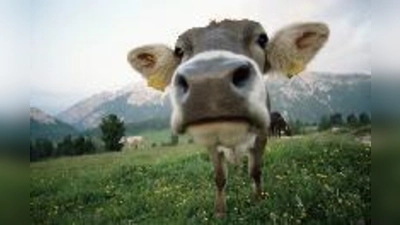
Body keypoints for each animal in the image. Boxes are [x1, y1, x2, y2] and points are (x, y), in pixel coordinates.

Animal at [127, 19, 328, 218]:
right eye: (179, 51)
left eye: (262, 39)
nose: (210, 79)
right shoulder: (211, 144)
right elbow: (219, 177)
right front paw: (220, 212)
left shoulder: (262, 135)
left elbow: (256, 171)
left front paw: (259, 201)